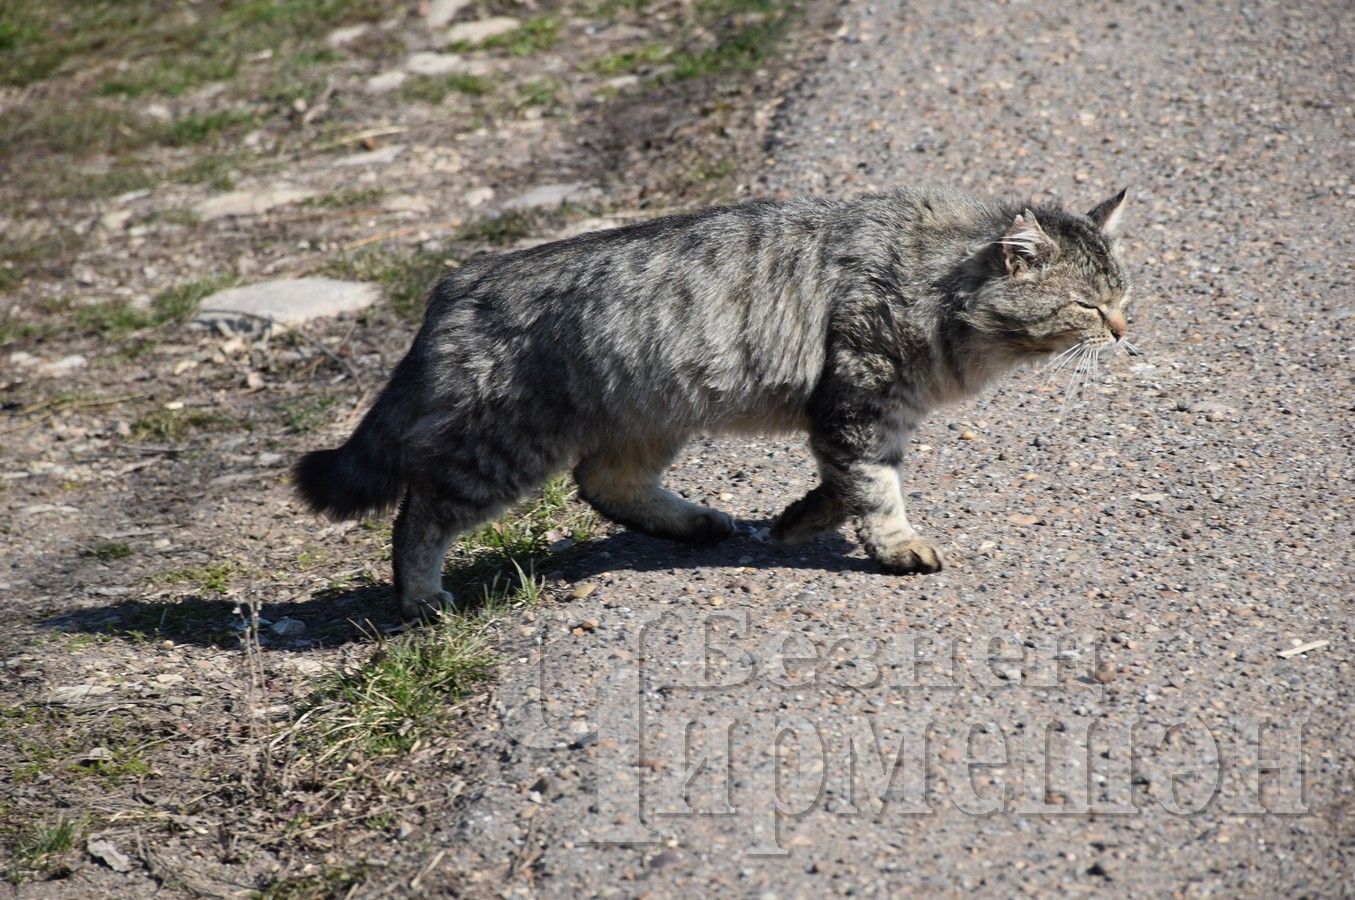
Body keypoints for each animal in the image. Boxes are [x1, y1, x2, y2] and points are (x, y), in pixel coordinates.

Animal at [296, 182, 1132, 618]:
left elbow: (840, 489)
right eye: (1089, 307)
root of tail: (456, 283)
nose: (1126, 330)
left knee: (605, 483)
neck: (933, 280)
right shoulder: (858, 406)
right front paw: (895, 547)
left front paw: (795, 524)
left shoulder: (862, 419)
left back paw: (699, 523)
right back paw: (421, 598)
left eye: (1122, 295)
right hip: (503, 448)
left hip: (650, 417)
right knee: (419, 513)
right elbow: (873, 490)